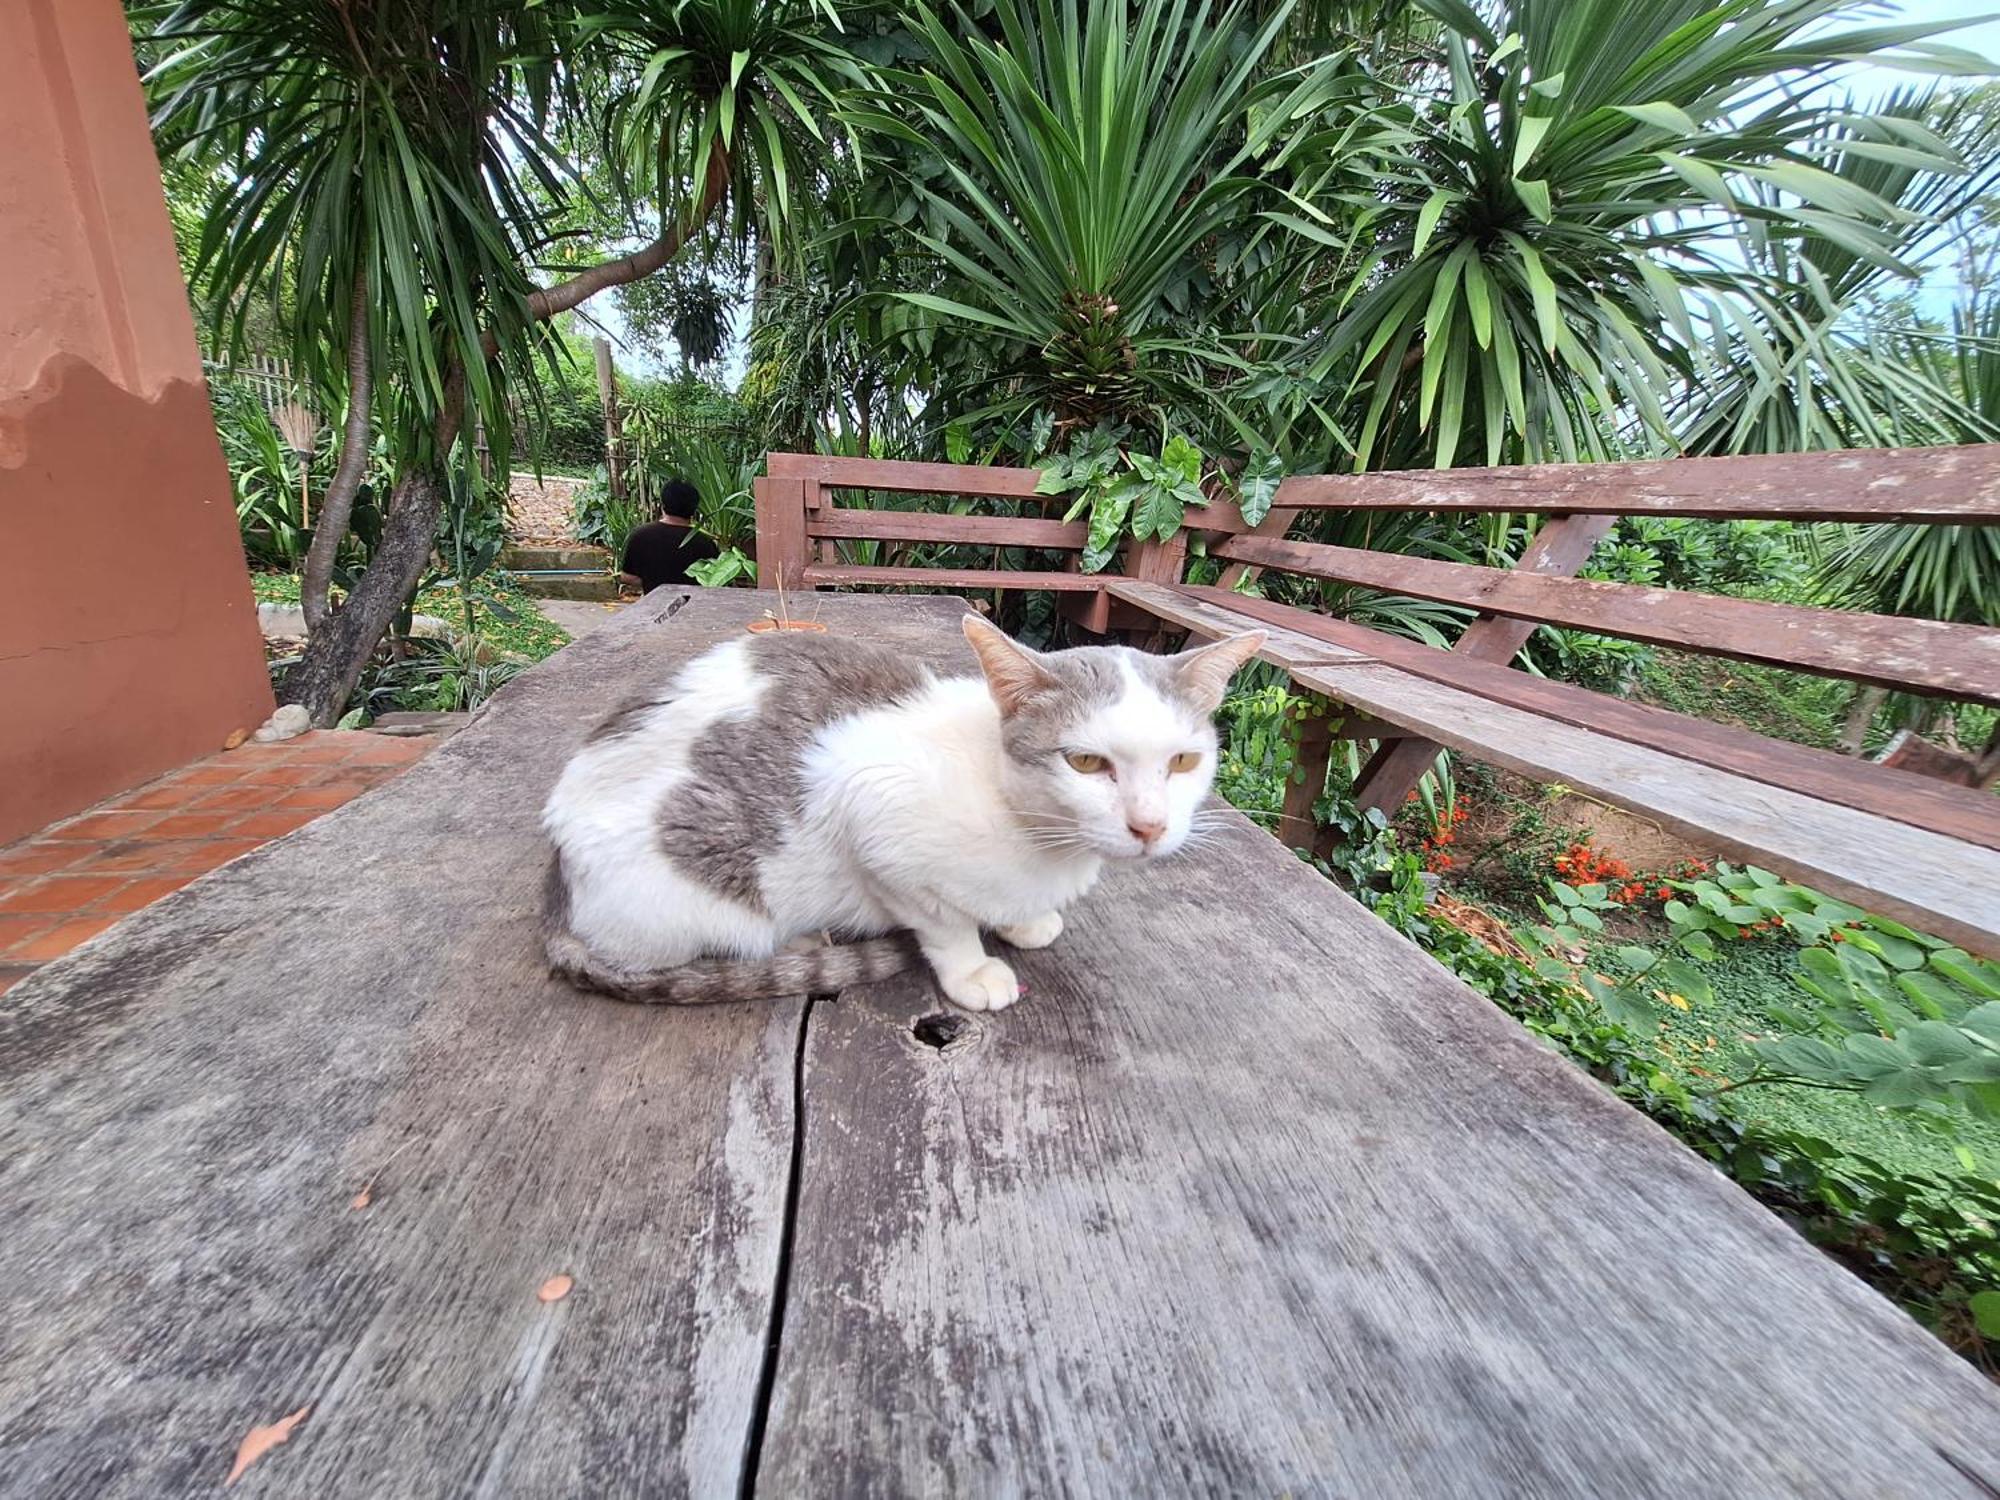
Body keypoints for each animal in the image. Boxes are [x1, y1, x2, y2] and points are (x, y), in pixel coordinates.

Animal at [544, 616, 1264, 1016]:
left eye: (1183, 762)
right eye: (1086, 763)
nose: (1149, 826)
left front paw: (1025, 920)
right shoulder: (870, 812)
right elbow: (944, 922)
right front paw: (973, 968)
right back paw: (802, 943)